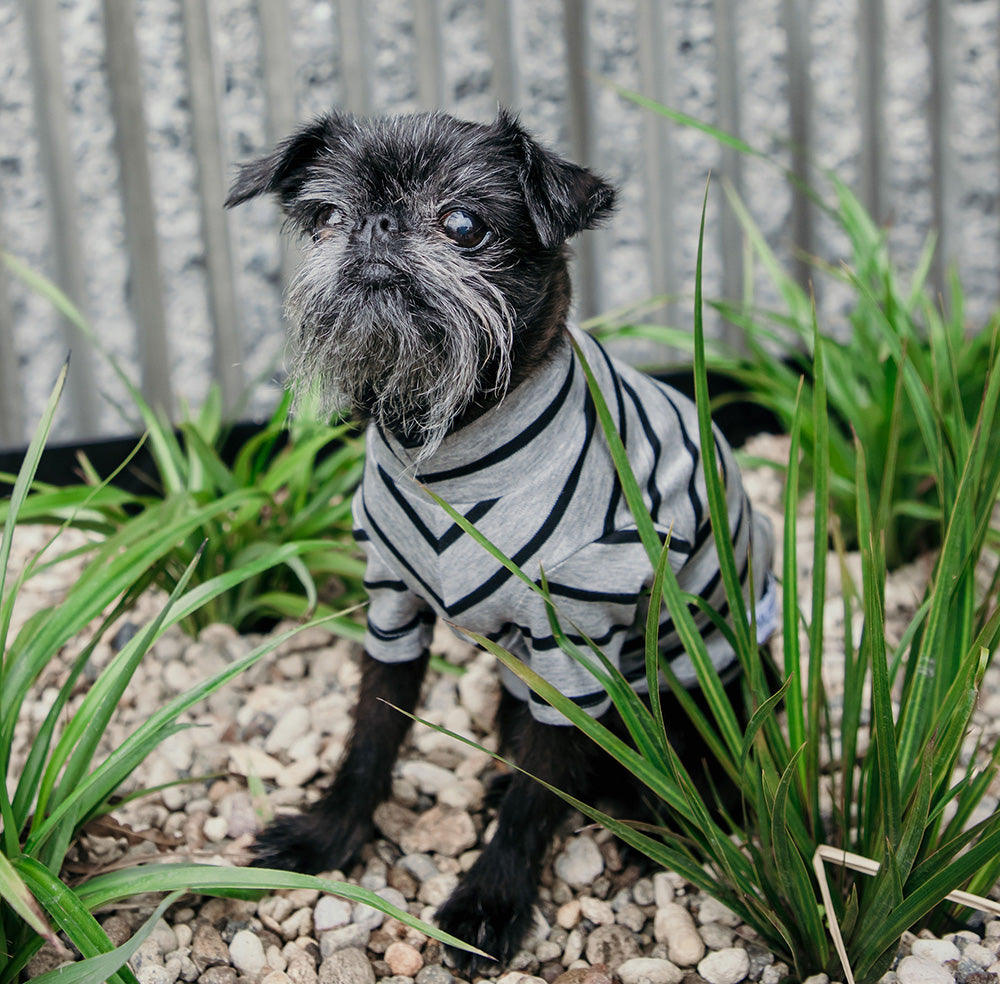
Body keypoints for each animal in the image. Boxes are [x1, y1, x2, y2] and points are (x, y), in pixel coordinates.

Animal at [227, 107, 772, 968]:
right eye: (327, 217)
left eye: (463, 224)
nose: (375, 226)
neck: (444, 445)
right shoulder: (391, 611)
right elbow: (371, 734)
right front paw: (330, 835)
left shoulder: (575, 649)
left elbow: (535, 798)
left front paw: (491, 898)